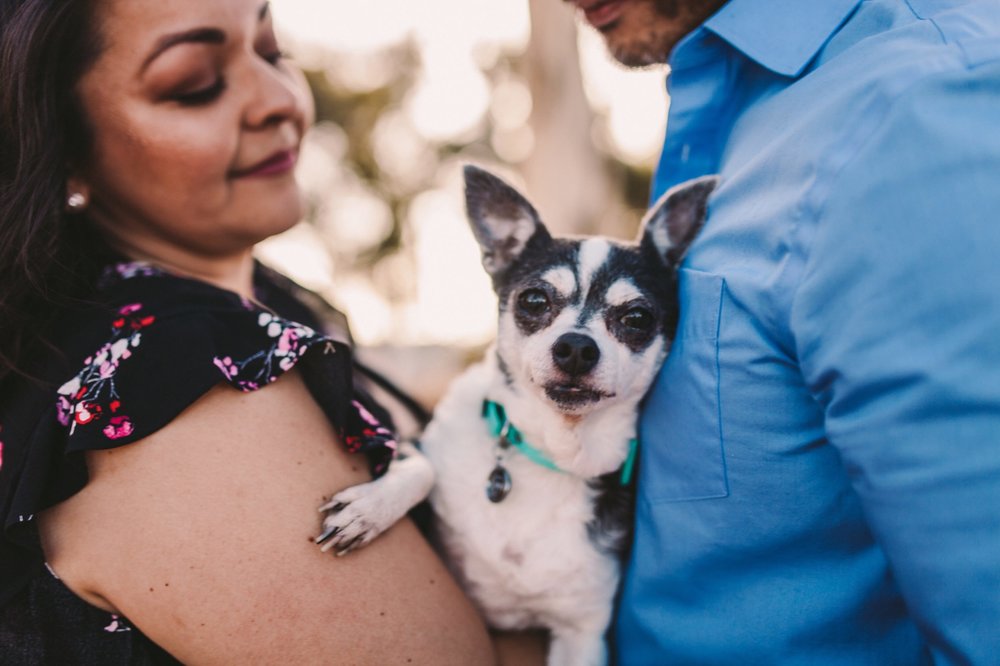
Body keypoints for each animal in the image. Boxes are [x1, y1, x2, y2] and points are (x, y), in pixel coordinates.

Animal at [316, 166, 716, 664]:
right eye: (534, 301)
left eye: (638, 318)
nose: (576, 347)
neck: (552, 451)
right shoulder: (417, 442)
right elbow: (420, 465)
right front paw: (371, 508)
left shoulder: (581, 635)